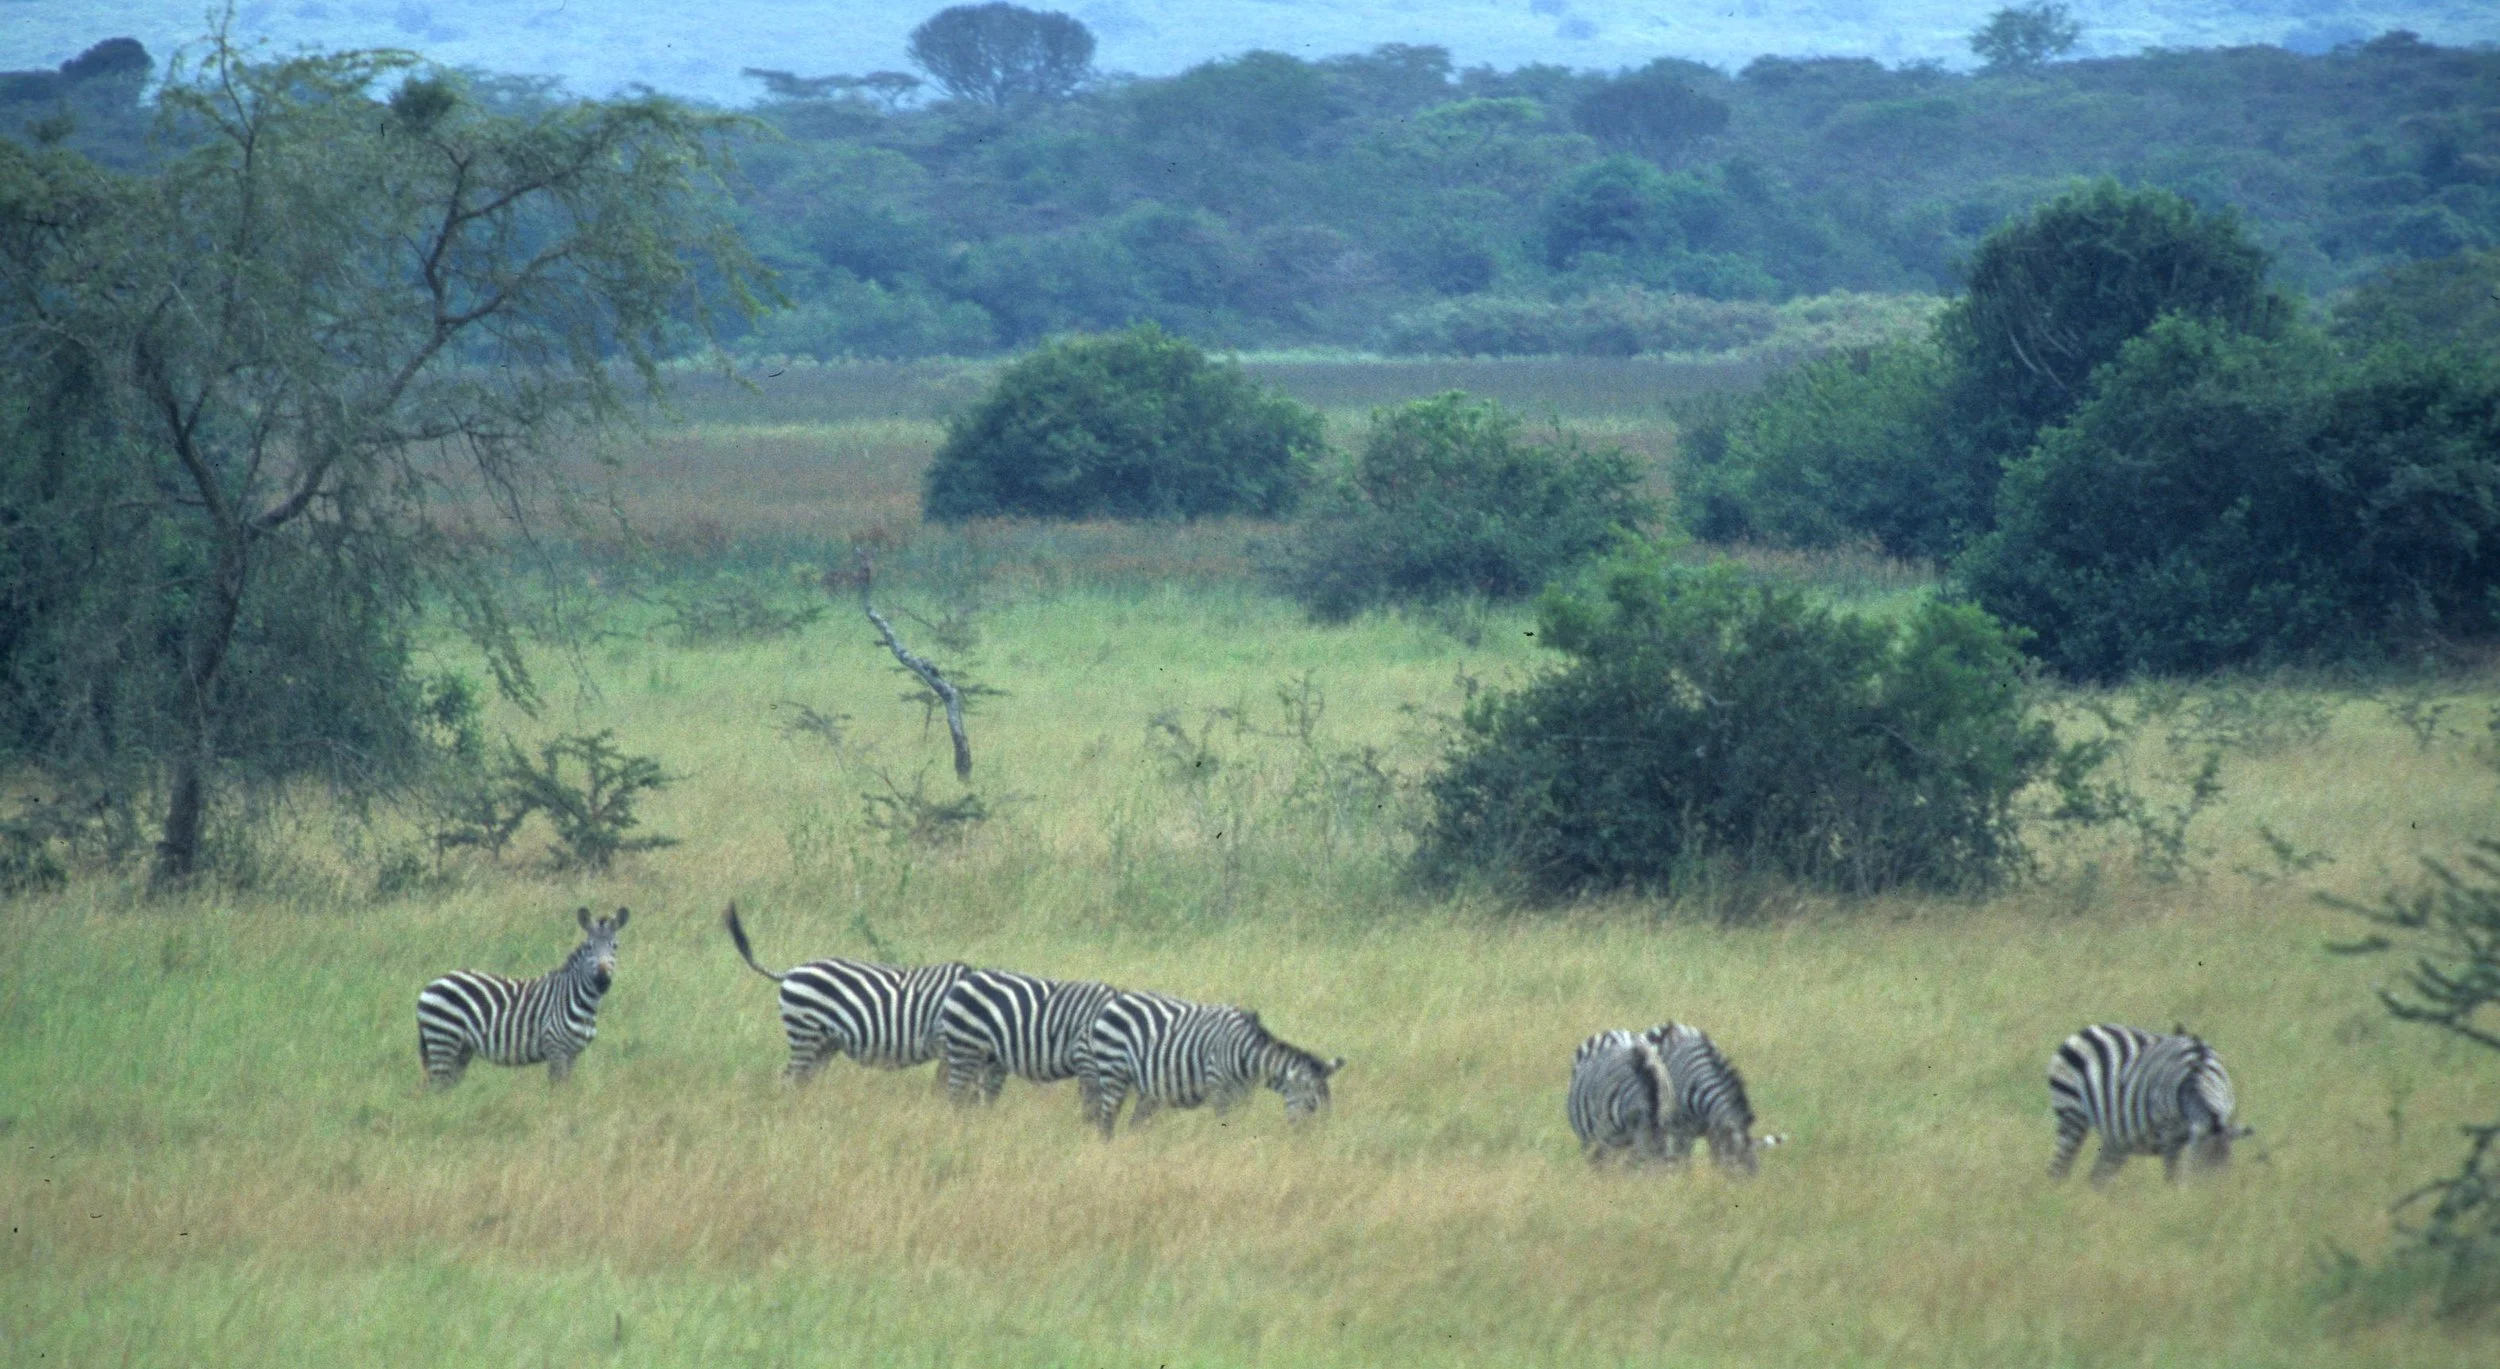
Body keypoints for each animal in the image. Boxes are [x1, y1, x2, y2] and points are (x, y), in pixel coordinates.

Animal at [417, 906, 628, 1088]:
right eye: (590, 947)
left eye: (615, 946)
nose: (602, 980)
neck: (577, 997)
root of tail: (432, 984)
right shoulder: (556, 1049)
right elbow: (558, 1090)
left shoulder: (573, 1054)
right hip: (443, 1039)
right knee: (437, 1088)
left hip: (461, 1048)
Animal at [936, 967, 1122, 1105]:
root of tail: (965, 980)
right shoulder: (1086, 1058)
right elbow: (1092, 1107)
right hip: (965, 1046)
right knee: (956, 1096)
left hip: (988, 1058)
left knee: (981, 1098)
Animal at [1076, 989, 1344, 1139]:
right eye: (1312, 1106)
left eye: (1328, 1109)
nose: (1314, 1143)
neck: (1246, 1054)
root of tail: (1115, 1001)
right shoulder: (1219, 1090)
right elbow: (1225, 1126)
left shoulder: (1242, 1093)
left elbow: (1238, 1124)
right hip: (1113, 1071)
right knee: (1106, 1122)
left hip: (1146, 1086)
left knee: (1135, 1124)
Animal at [2047, 1023, 2250, 1185]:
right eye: (2199, 1168)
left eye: (2227, 1167)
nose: (2212, 1199)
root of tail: (2087, 1030)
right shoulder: (2170, 1136)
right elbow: (2172, 1176)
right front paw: (2174, 1199)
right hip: (2071, 1112)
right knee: (2059, 1169)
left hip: (2117, 1135)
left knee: (2098, 1178)